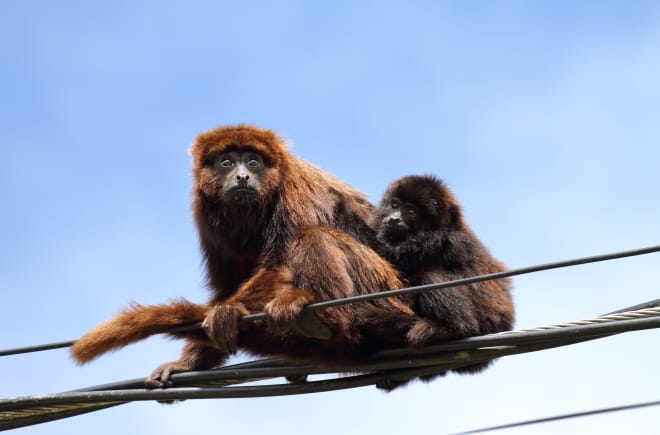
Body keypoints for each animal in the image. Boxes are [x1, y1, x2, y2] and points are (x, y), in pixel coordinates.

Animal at [69, 124, 426, 386]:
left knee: (313, 235)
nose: (242, 176)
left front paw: (229, 311)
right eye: (227, 162)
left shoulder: (293, 187)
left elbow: (278, 263)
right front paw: (188, 362)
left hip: (387, 291)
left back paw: (326, 322)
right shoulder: (204, 212)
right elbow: (225, 284)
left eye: (253, 161)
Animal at [372, 175, 516, 386]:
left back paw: (453, 330)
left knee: (430, 274)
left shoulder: (437, 241)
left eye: (411, 211)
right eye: (394, 205)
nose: (394, 218)